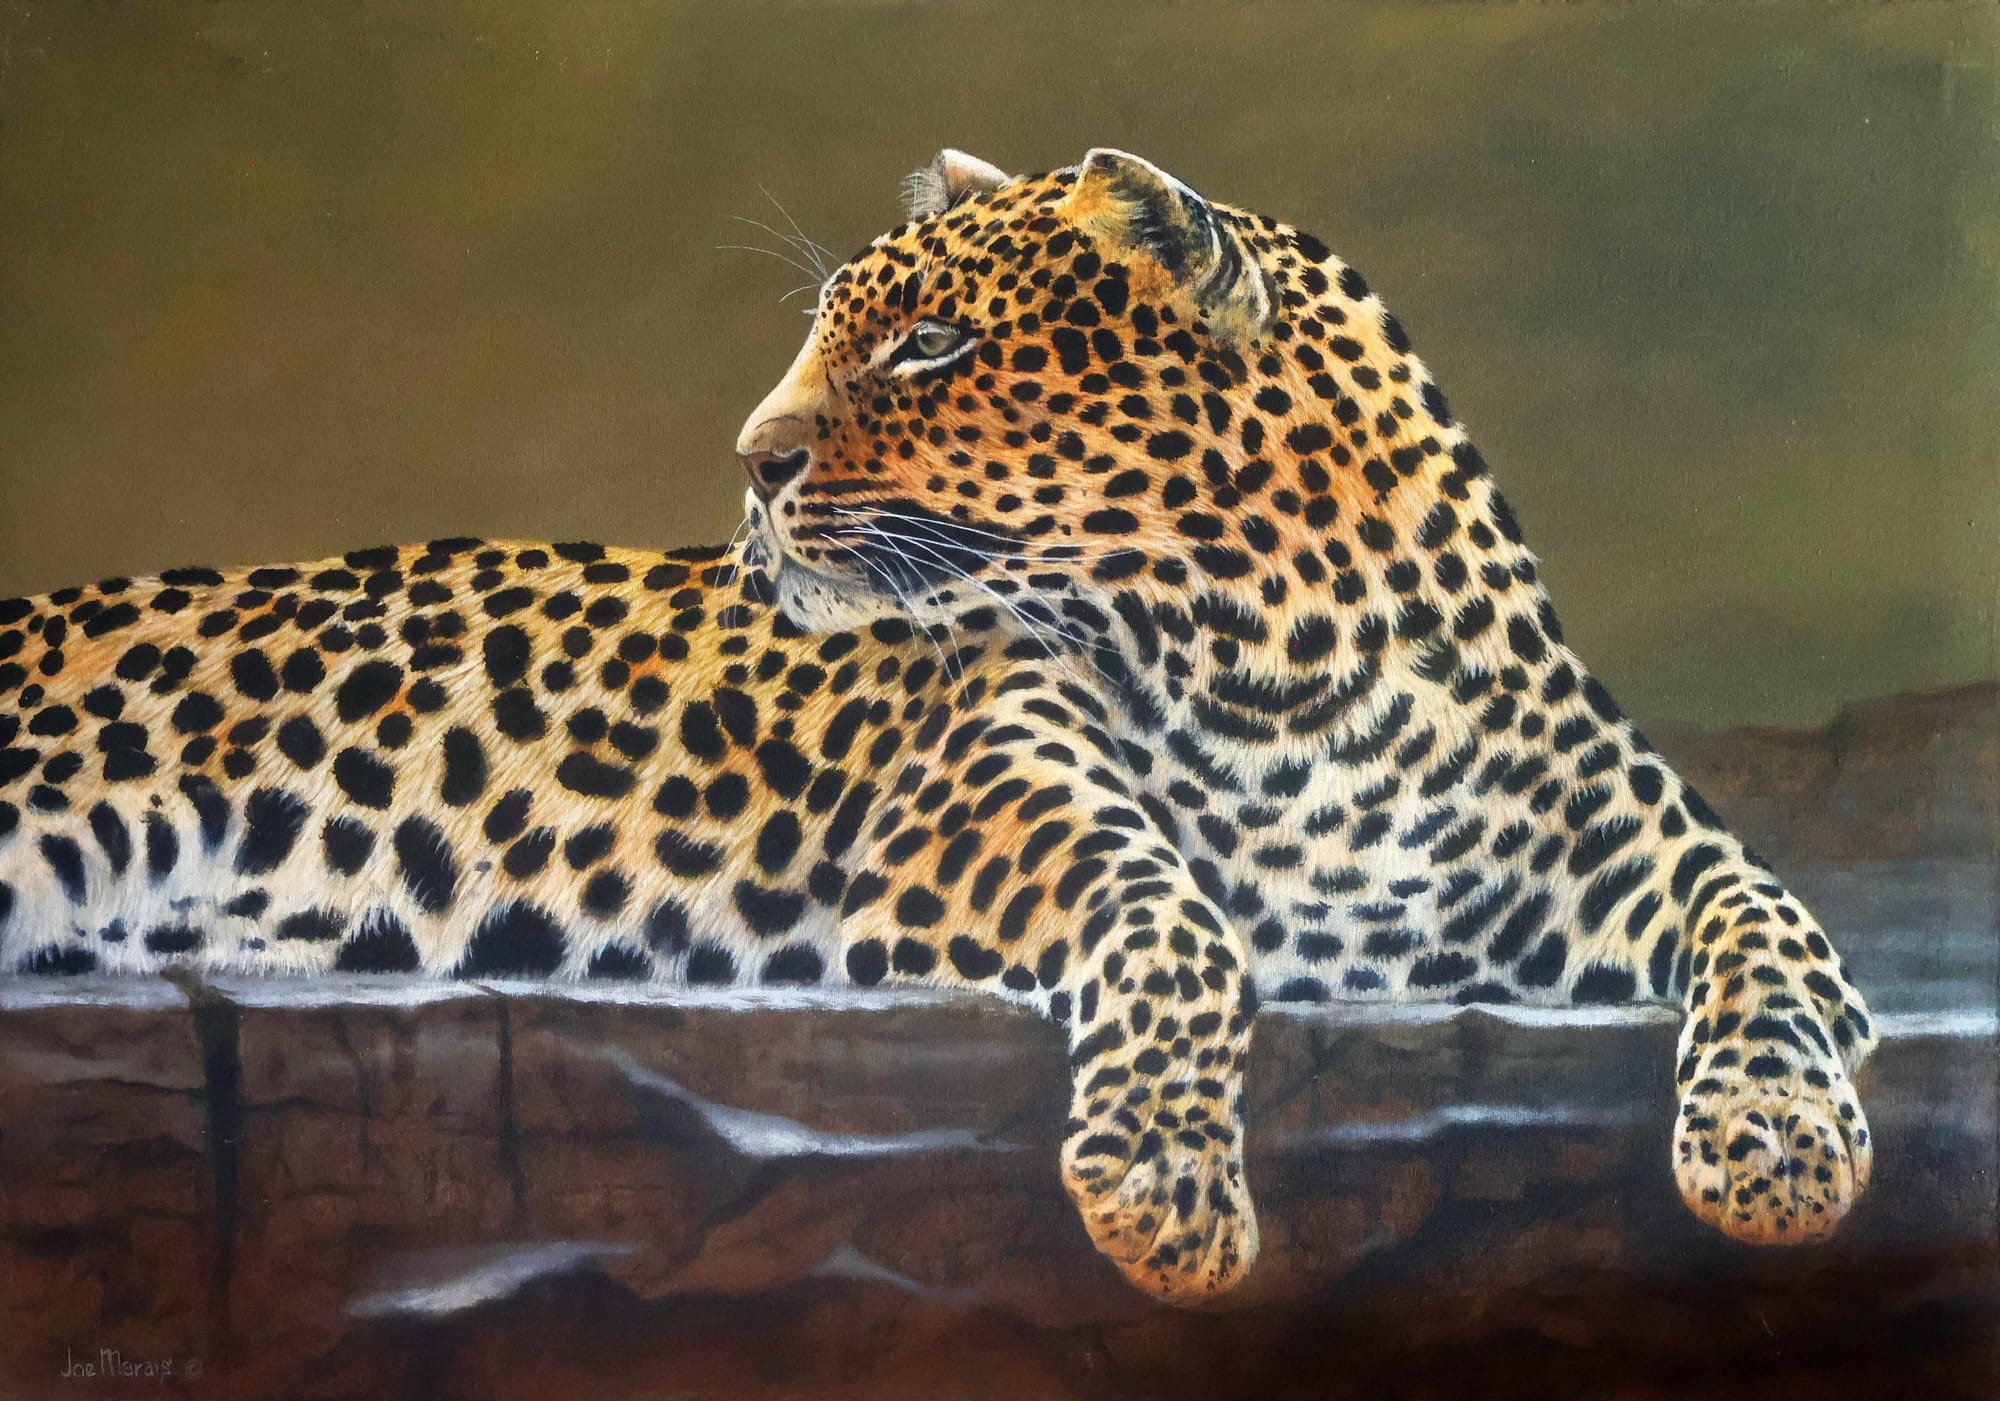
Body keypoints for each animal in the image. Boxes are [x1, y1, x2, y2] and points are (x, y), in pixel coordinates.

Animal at [0, 147, 1876, 1305]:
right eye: (838, 334)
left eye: (927, 345)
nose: (748, 463)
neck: (1289, 662)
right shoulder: (978, 817)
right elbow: (1179, 925)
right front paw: (1164, 1196)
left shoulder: (1638, 850)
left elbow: (1775, 932)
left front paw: (1780, 1148)